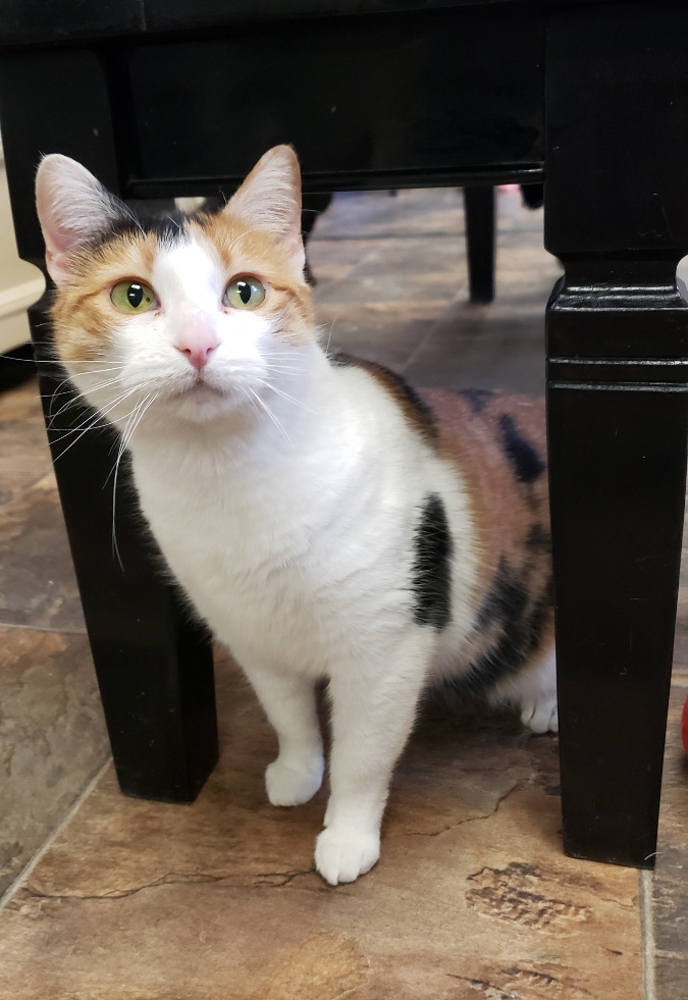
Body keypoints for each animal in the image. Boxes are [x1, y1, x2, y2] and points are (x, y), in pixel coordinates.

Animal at [35, 146, 556, 884]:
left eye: (244, 291)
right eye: (132, 296)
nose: (198, 345)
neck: (228, 482)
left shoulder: (386, 649)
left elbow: (363, 755)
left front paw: (347, 837)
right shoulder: (251, 635)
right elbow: (289, 716)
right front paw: (296, 774)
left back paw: (541, 703)